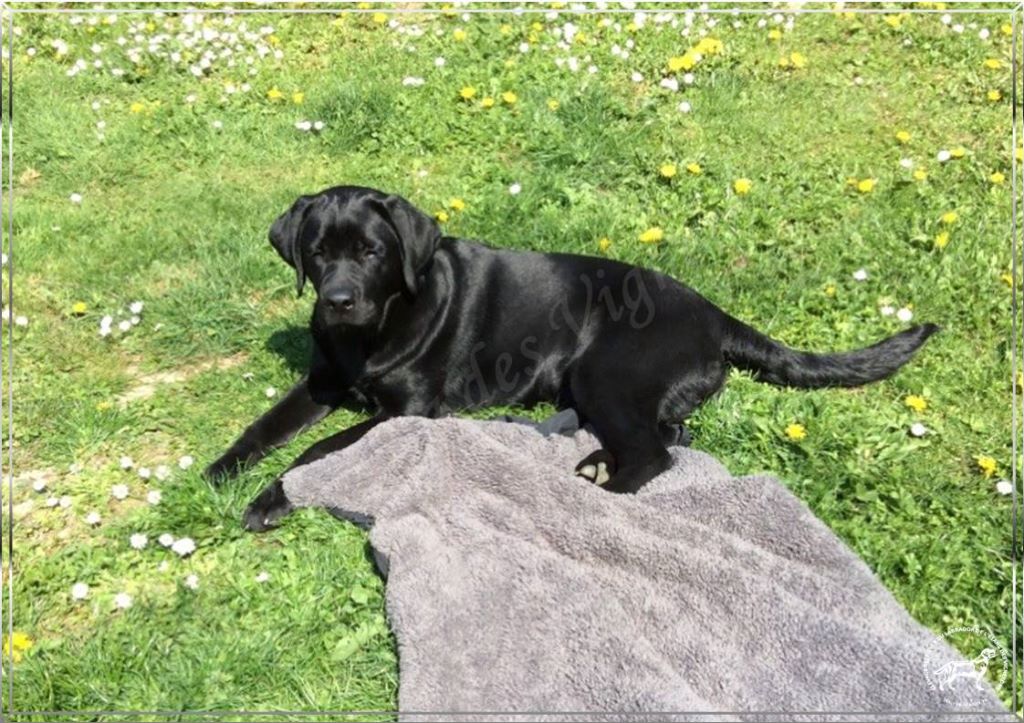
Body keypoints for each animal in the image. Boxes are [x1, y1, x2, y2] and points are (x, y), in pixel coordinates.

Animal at [203, 186, 937, 528]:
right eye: (318, 252)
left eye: (373, 252)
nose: (338, 300)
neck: (371, 335)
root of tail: (712, 311)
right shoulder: (322, 381)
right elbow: (266, 425)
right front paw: (221, 468)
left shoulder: (406, 411)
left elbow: (317, 449)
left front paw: (271, 497)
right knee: (670, 434)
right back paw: (593, 462)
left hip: (603, 370)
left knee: (655, 454)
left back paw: (596, 491)